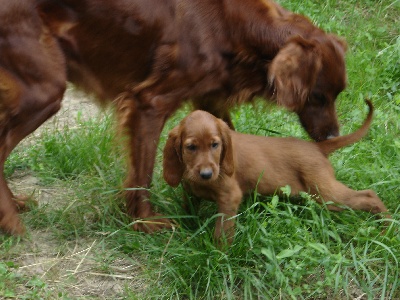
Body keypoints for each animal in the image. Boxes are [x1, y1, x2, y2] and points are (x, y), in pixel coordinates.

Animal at [0, 0, 346, 234]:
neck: (229, 25)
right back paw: (12, 223)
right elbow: (142, 173)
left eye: (338, 94)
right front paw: (144, 221)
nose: (332, 137)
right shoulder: (149, 104)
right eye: (318, 96)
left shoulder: (209, 101)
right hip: (44, 92)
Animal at [164, 102, 390, 243]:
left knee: (369, 195)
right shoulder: (189, 192)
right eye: (190, 147)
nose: (206, 174)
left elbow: (223, 232)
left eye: (215, 145)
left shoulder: (230, 197)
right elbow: (187, 210)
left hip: (326, 194)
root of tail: (317, 147)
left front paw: (220, 254)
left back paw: (387, 227)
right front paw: (186, 230)